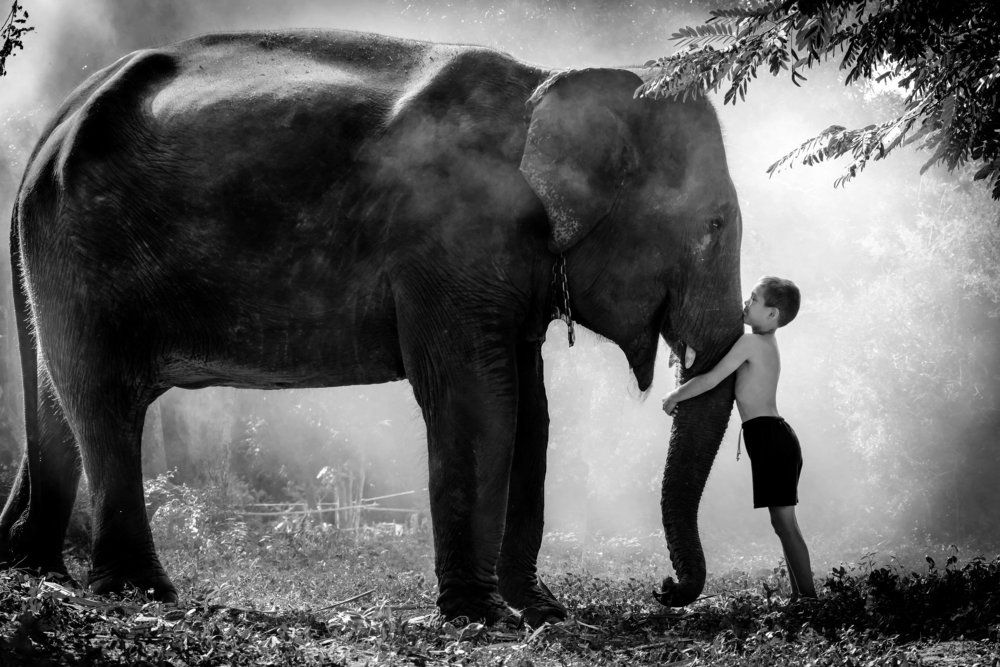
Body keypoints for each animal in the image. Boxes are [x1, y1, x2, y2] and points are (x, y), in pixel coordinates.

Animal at [0, 29, 742, 624]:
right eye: (715, 225)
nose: (665, 589)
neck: (547, 81)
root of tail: (51, 129)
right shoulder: (451, 238)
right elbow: (479, 400)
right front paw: (483, 616)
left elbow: (530, 410)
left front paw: (542, 610)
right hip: (85, 255)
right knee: (104, 401)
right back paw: (142, 592)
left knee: (58, 399)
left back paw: (35, 567)